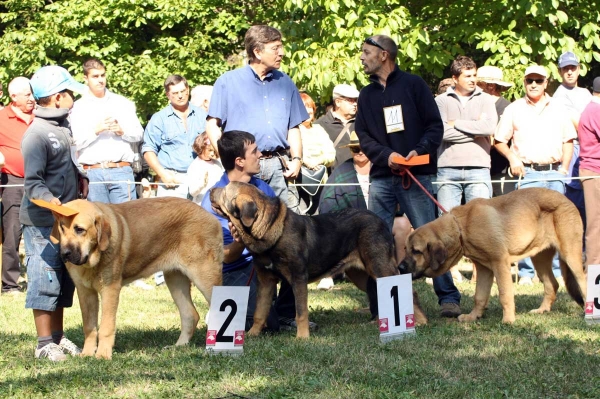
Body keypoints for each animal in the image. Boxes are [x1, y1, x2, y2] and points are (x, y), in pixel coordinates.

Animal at [50, 198, 224, 360]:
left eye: (80, 230)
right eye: (61, 228)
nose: (64, 253)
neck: (93, 259)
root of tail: (209, 215)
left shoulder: (110, 289)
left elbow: (106, 326)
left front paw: (103, 355)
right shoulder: (85, 292)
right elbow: (89, 327)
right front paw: (87, 354)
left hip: (204, 276)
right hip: (175, 279)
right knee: (190, 314)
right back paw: (179, 346)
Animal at [209, 181, 428, 338]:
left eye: (225, 191)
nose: (211, 190)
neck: (267, 230)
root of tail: (381, 221)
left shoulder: (298, 278)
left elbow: (301, 312)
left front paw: (302, 338)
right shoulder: (265, 280)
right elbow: (260, 311)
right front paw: (252, 334)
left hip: (379, 266)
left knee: (409, 290)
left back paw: (419, 321)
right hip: (361, 273)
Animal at [398, 188, 584, 324]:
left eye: (416, 251)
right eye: (405, 248)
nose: (400, 267)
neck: (461, 227)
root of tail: (567, 199)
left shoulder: (499, 263)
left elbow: (505, 294)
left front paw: (508, 320)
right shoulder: (484, 268)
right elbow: (479, 296)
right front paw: (473, 317)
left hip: (570, 254)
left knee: (583, 281)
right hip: (539, 258)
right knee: (552, 284)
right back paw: (542, 310)